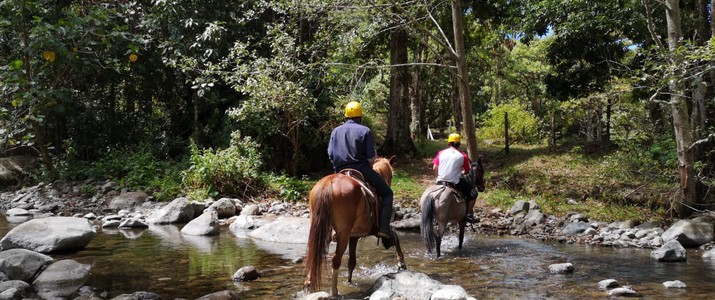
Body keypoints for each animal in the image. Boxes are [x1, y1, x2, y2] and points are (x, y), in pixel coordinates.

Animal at [304, 157, 408, 296]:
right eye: (391, 175)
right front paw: (401, 263)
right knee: (336, 259)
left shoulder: (354, 236)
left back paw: (309, 284)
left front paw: (349, 281)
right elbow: (394, 236)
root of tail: (328, 184)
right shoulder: (375, 231)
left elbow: (351, 262)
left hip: (320, 229)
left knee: (314, 253)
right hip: (343, 234)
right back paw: (334, 291)